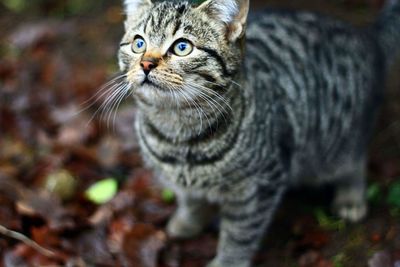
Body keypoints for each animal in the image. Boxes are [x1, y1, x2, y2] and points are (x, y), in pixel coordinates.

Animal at [115, 0, 400, 267]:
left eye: (182, 47)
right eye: (138, 43)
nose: (146, 63)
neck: (177, 131)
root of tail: (367, 38)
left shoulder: (257, 190)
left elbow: (240, 235)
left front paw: (227, 262)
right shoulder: (181, 183)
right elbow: (191, 203)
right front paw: (186, 224)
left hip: (341, 139)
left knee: (355, 160)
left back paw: (351, 197)